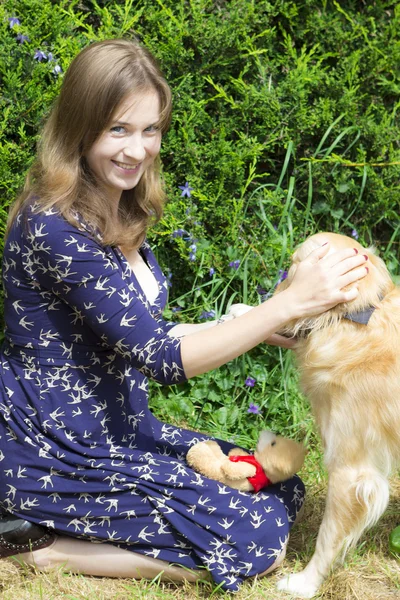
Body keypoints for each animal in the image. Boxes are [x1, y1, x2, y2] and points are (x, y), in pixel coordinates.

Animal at [272, 232, 400, 596]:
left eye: (292, 268)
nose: (274, 297)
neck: (359, 319)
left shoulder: (350, 469)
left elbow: (328, 535)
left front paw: (305, 582)